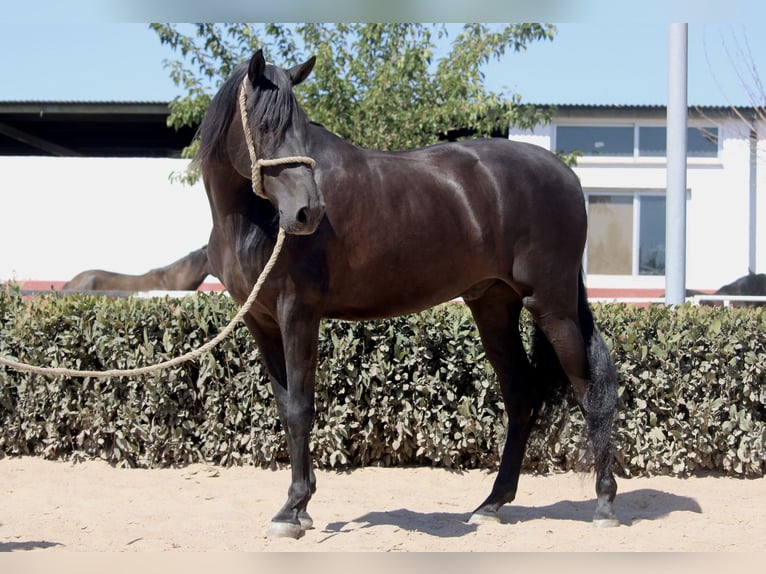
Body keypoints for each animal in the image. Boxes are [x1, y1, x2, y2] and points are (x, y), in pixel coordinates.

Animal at [196, 50, 616, 540]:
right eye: (265, 126)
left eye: (299, 125)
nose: (307, 212)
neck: (249, 219)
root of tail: (566, 174)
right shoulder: (259, 319)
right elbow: (285, 407)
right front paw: (301, 506)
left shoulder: (297, 313)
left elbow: (301, 408)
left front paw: (291, 509)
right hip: (493, 306)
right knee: (521, 395)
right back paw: (491, 504)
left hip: (552, 307)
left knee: (588, 391)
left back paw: (604, 502)